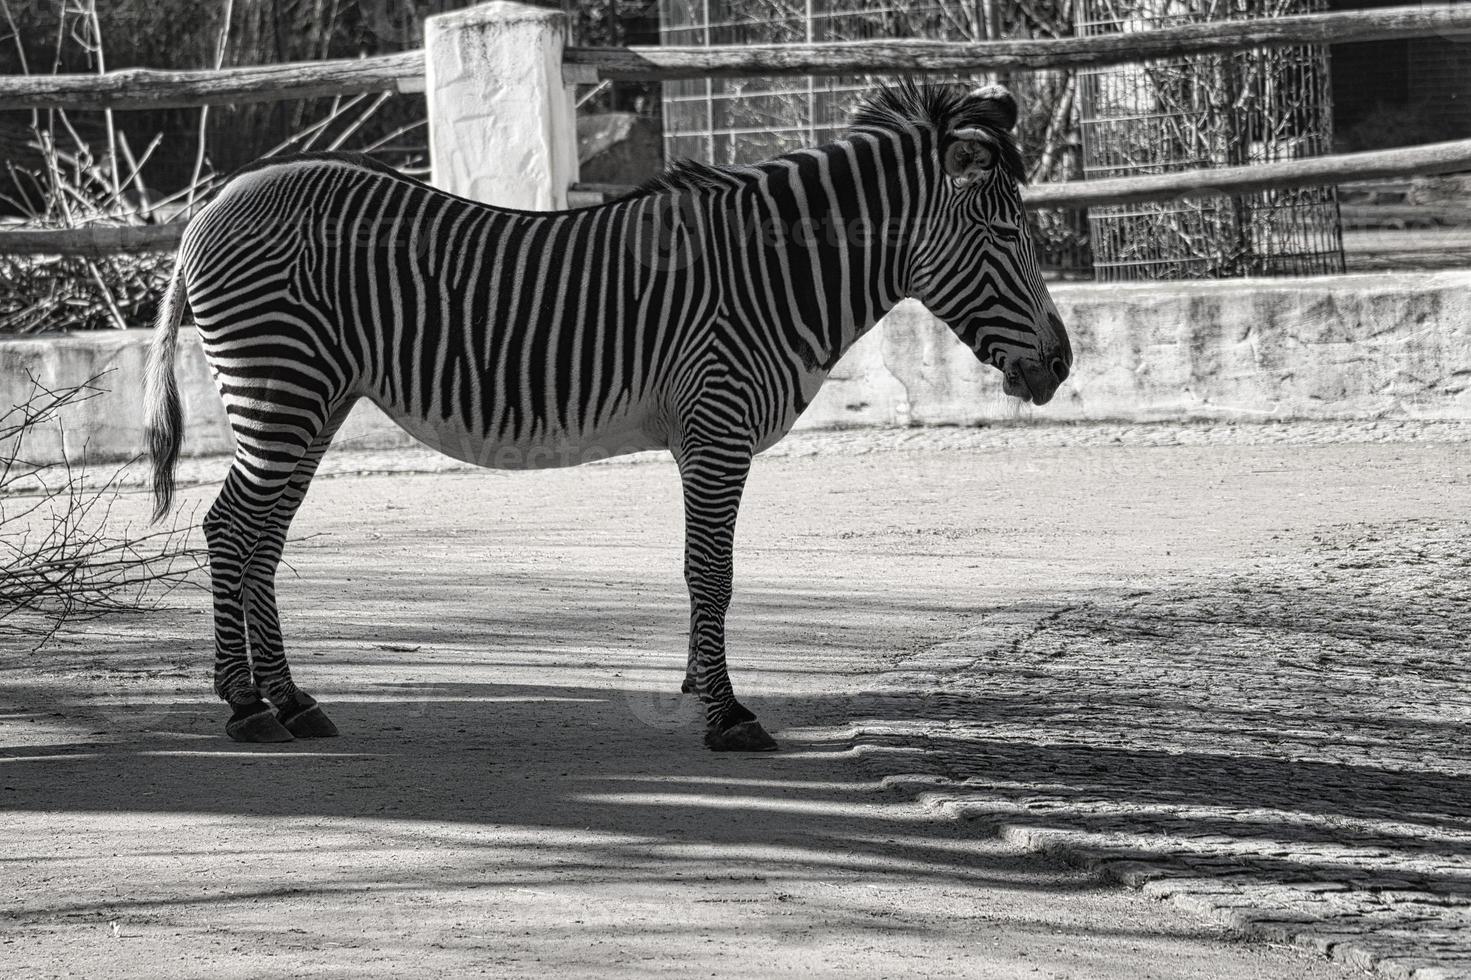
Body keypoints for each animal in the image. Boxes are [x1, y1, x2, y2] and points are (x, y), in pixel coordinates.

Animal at [146, 80, 1070, 747]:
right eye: (1005, 236)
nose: (1061, 366)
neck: (772, 273)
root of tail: (210, 206)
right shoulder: (716, 424)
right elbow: (712, 571)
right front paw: (726, 715)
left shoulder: (702, 434)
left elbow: (704, 573)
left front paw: (699, 687)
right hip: (280, 383)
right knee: (231, 527)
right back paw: (246, 707)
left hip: (315, 396)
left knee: (263, 536)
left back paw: (293, 700)